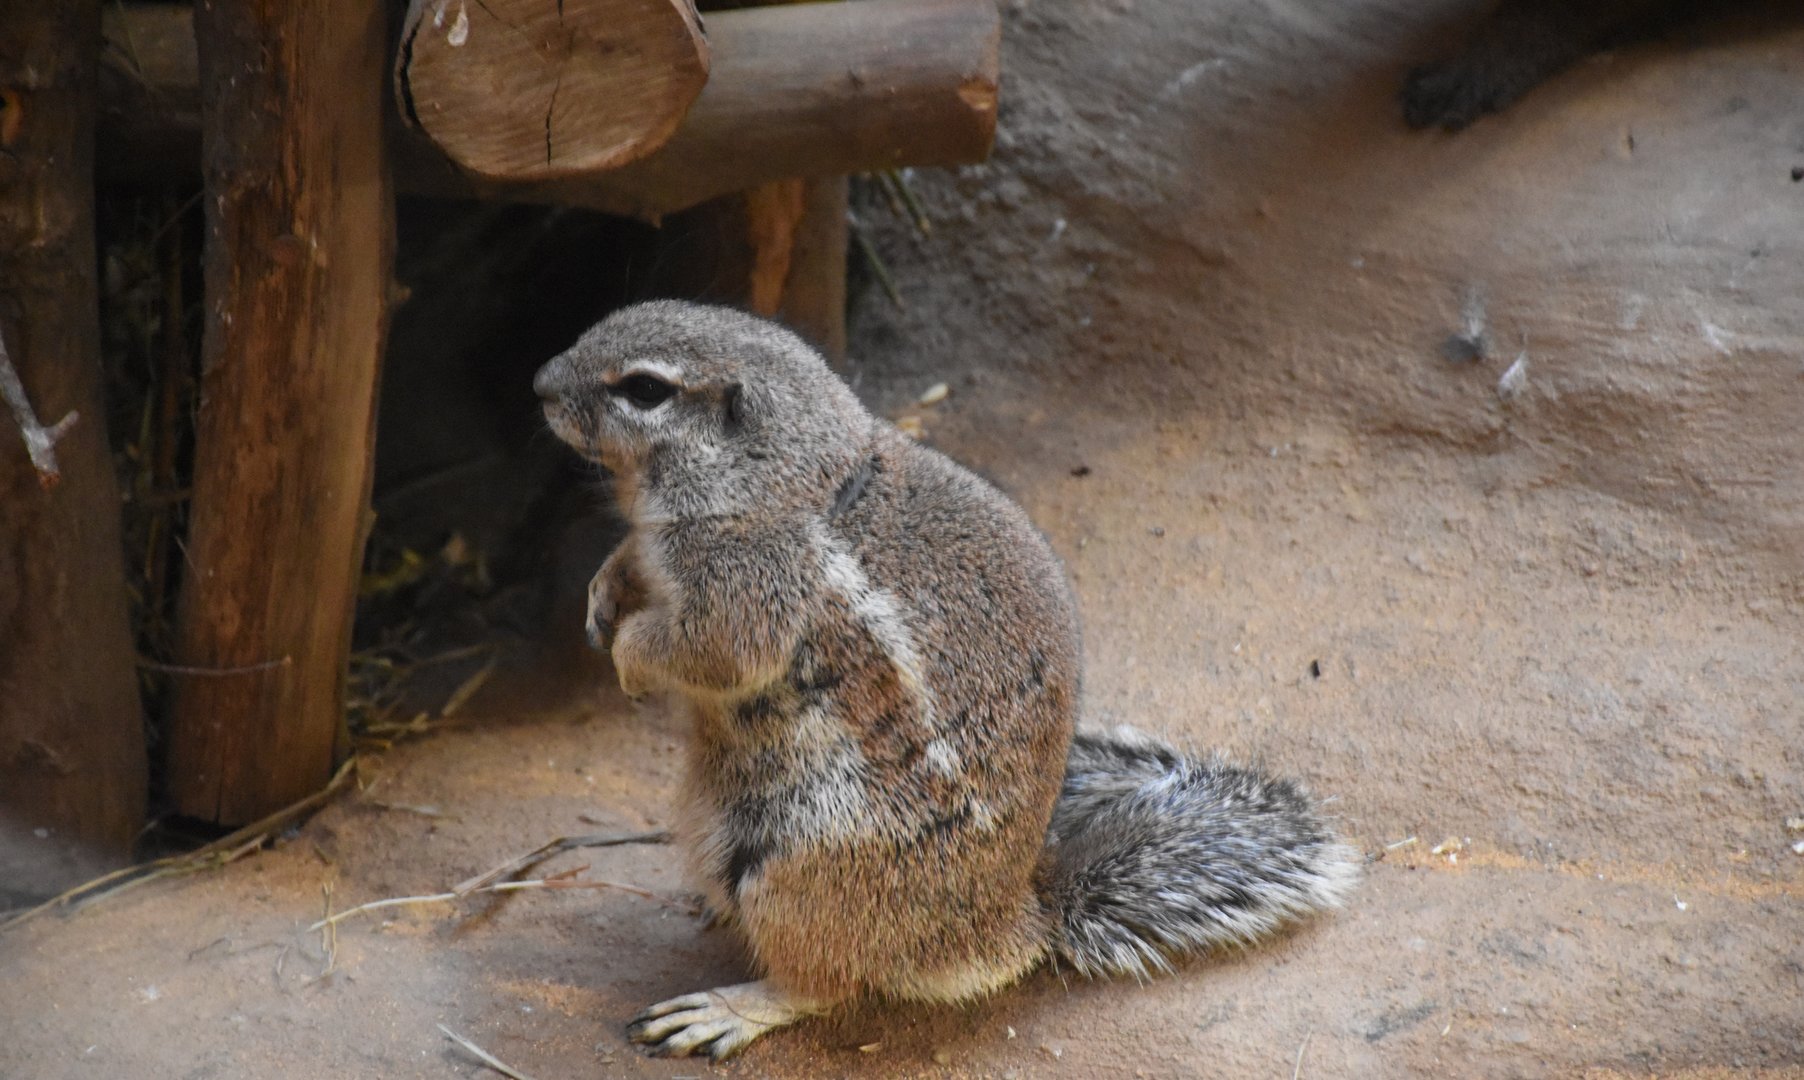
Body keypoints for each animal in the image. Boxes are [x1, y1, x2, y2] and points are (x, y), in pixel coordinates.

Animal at [532, 302, 1359, 1060]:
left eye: (645, 389)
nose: (539, 384)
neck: (784, 470)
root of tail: (1010, 924)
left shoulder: (749, 585)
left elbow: (705, 652)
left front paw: (628, 659)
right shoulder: (664, 550)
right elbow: (630, 564)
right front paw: (603, 595)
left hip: (798, 873)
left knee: (823, 982)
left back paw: (728, 1008)